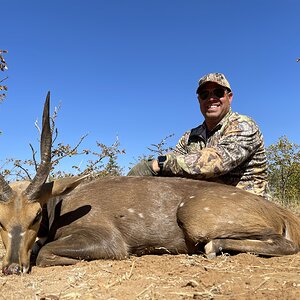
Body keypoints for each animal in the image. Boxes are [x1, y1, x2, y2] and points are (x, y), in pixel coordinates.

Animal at [1, 95, 300, 274]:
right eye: (1, 220)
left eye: (36, 216)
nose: (12, 268)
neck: (60, 208)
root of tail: (281, 212)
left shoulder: (107, 240)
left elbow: (44, 253)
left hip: (195, 218)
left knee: (284, 243)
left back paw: (213, 247)